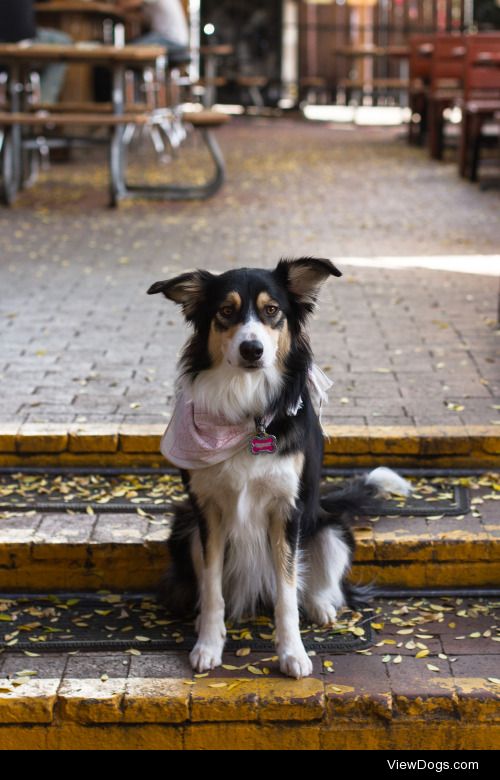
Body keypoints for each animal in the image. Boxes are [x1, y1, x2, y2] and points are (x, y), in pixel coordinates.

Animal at [148, 256, 410, 676]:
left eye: (272, 310)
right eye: (226, 311)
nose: (252, 349)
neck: (247, 410)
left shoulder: (286, 511)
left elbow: (287, 592)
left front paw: (293, 654)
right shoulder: (207, 511)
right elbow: (212, 587)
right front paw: (208, 644)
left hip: (330, 530)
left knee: (321, 585)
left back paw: (321, 606)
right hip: (184, 527)